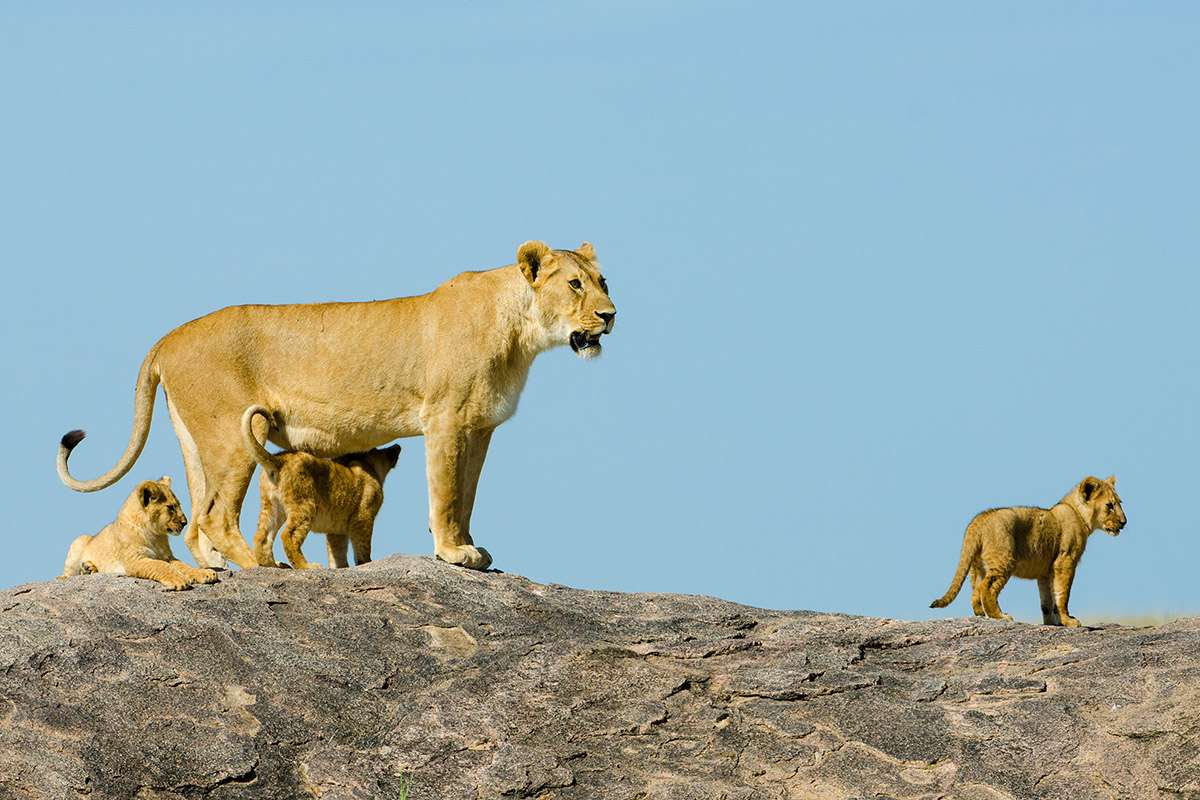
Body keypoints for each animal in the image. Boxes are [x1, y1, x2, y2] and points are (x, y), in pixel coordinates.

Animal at [61, 476, 219, 590]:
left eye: (179, 505)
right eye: (170, 507)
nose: (185, 522)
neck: (155, 535)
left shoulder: (168, 556)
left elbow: (184, 565)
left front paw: (205, 573)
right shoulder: (135, 560)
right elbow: (160, 565)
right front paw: (178, 580)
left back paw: (89, 568)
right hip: (79, 541)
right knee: (66, 574)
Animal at [242, 405, 402, 569]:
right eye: (378, 449)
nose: (397, 446)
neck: (370, 468)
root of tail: (279, 460)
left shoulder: (336, 531)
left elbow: (337, 552)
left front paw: (339, 567)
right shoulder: (363, 517)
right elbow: (362, 546)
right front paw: (366, 562)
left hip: (272, 505)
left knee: (262, 537)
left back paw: (272, 565)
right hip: (305, 504)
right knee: (288, 535)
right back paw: (306, 566)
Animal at [929, 475, 1127, 626]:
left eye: (1119, 503)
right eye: (1110, 505)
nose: (1124, 522)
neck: (1079, 514)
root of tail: (980, 518)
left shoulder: (1046, 572)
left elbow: (1047, 601)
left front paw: (1053, 623)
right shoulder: (1065, 561)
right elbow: (1063, 594)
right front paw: (1069, 621)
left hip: (977, 566)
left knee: (975, 591)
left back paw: (982, 614)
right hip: (1004, 560)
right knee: (987, 587)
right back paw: (1000, 616)